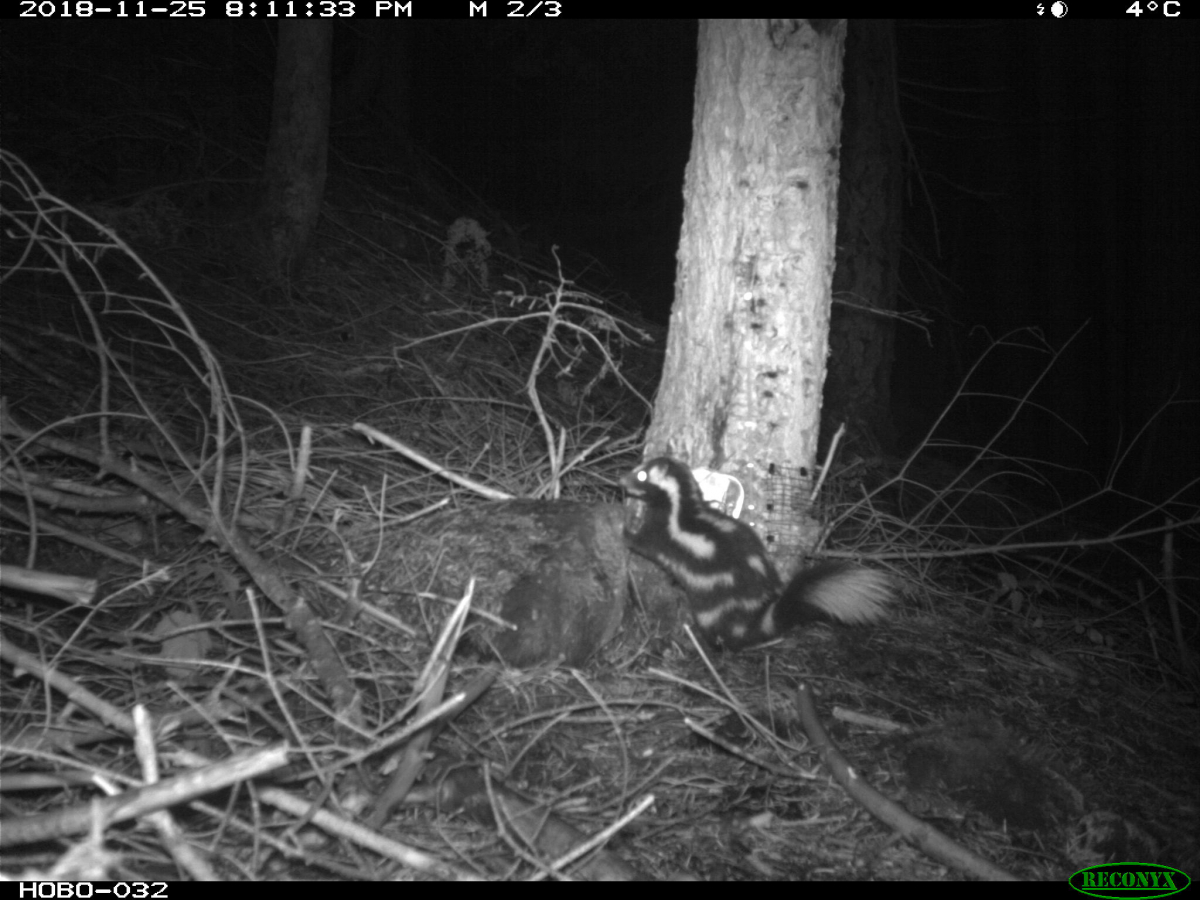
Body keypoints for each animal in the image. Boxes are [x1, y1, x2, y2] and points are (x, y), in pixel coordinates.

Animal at [619, 458, 892, 648]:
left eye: (642, 474)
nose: (622, 479)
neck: (680, 504)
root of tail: (761, 615)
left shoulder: (662, 532)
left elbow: (643, 544)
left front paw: (623, 530)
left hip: (715, 602)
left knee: (721, 632)